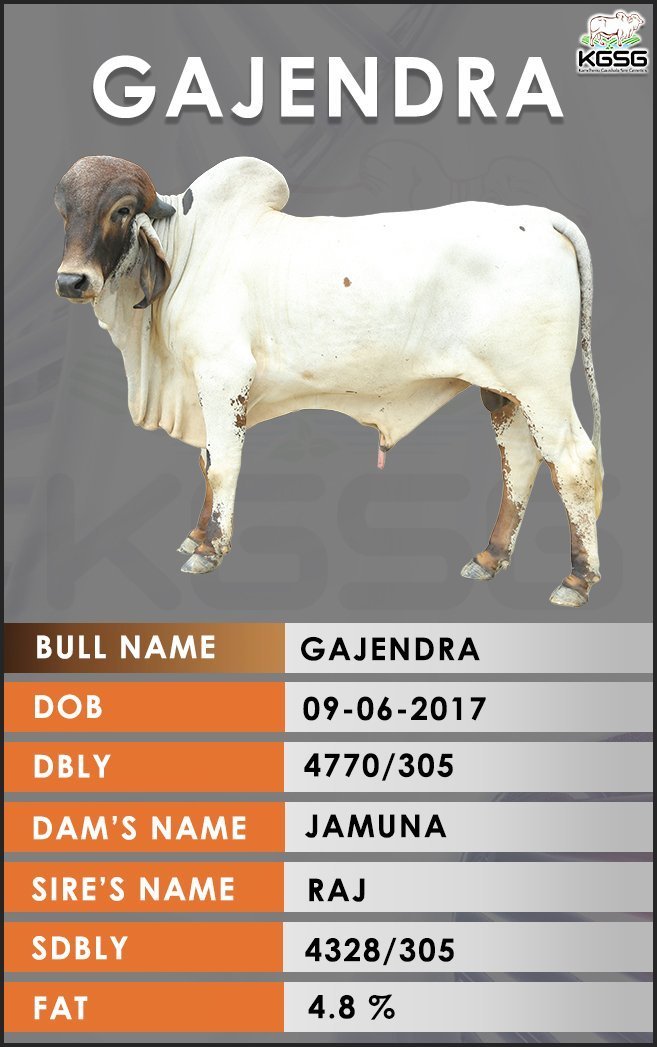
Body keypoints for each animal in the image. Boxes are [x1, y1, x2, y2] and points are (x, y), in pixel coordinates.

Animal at [54, 155, 603, 607]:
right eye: (64, 211)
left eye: (123, 209)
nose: (71, 281)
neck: (189, 250)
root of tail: (541, 216)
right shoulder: (201, 384)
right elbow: (207, 458)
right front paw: (197, 535)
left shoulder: (222, 375)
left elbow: (222, 465)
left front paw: (209, 550)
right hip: (503, 391)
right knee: (522, 461)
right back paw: (489, 558)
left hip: (541, 387)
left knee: (573, 463)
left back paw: (576, 580)